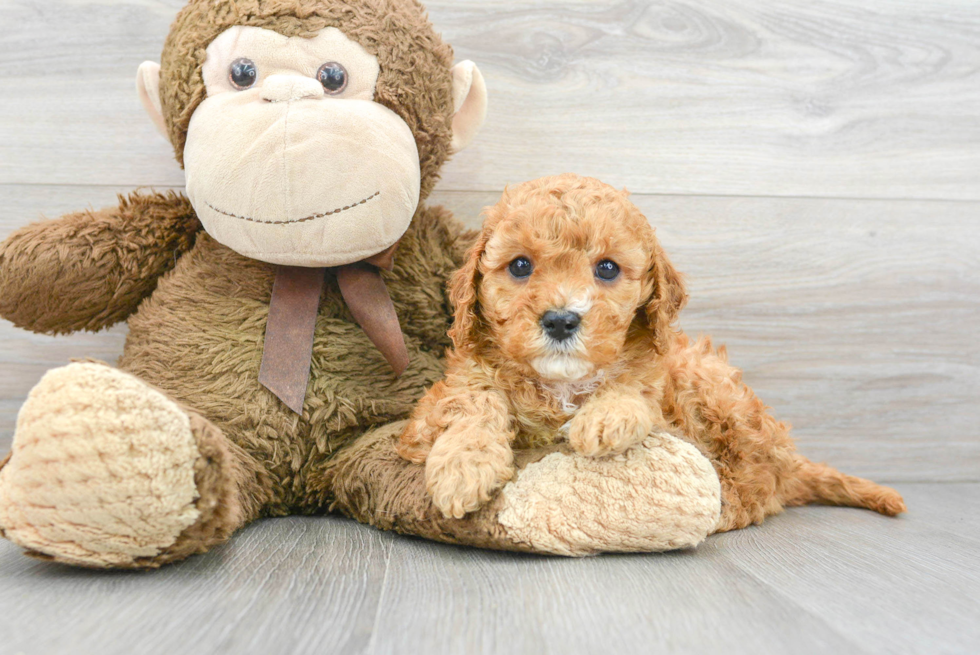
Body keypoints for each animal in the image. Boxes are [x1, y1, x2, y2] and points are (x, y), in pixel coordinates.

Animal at [398, 174, 904, 528]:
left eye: (607, 268)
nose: (561, 320)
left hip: (715, 387)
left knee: (757, 486)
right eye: (520, 266)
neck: (563, 384)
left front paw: (605, 417)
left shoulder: (666, 405)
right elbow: (475, 400)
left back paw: (724, 507)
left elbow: (635, 392)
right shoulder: (438, 405)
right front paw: (464, 466)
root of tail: (791, 456)